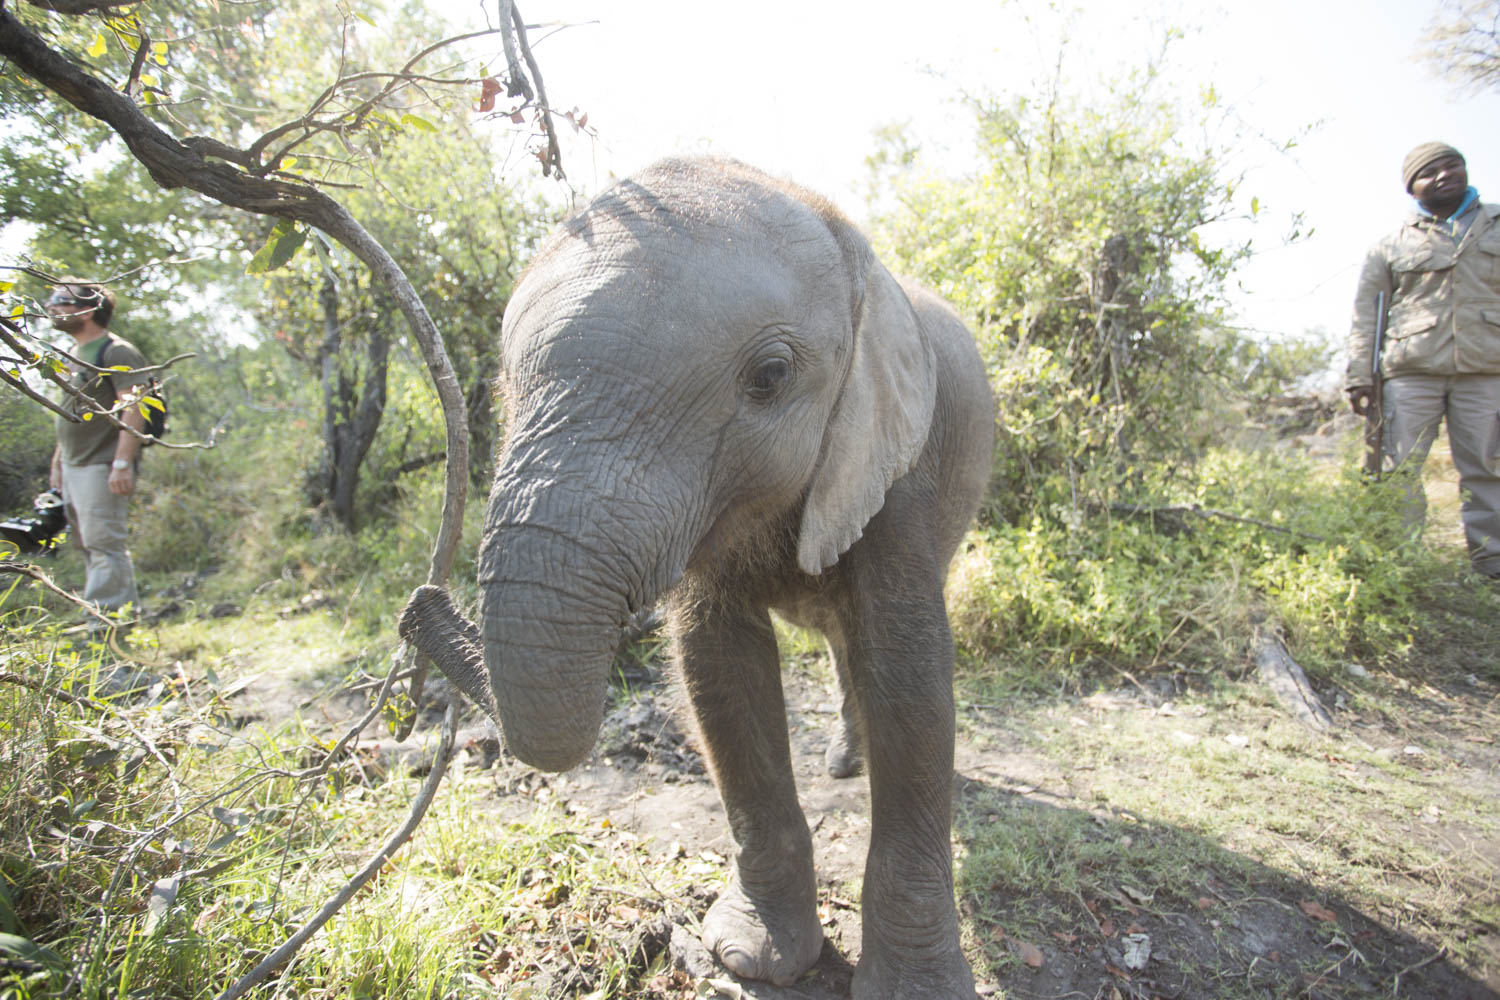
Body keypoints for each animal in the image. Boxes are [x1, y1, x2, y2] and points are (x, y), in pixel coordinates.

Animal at [405, 158, 1002, 1000]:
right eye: (501, 389)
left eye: (771, 376)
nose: (421, 603)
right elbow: (720, 668)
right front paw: (750, 959)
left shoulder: (901, 464)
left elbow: (910, 676)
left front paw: (914, 990)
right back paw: (844, 765)